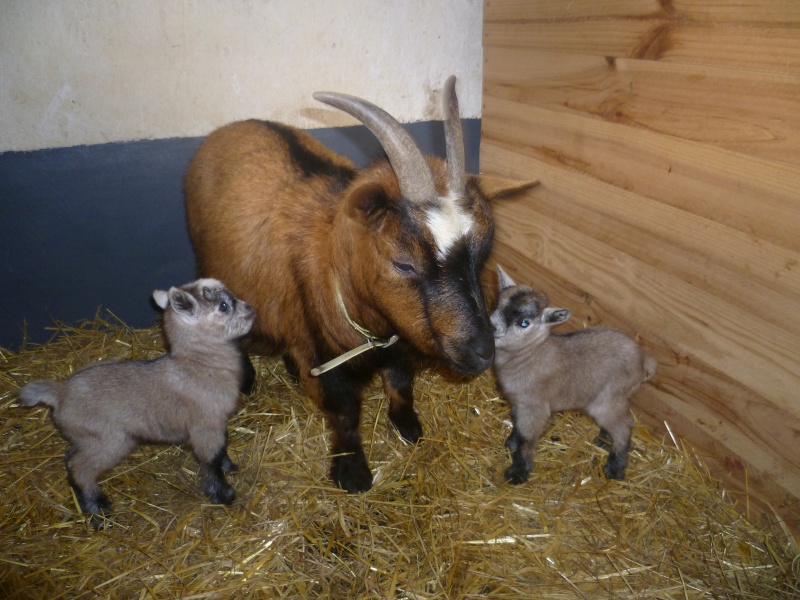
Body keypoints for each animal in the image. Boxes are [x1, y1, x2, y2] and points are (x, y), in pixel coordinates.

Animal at [187, 77, 536, 492]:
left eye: (483, 253)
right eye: (403, 263)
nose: (483, 352)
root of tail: (232, 127)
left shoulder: (397, 336)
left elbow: (400, 384)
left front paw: (408, 428)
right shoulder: (325, 358)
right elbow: (345, 414)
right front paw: (352, 472)